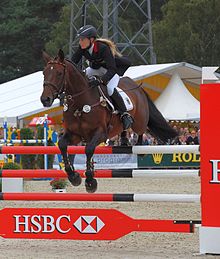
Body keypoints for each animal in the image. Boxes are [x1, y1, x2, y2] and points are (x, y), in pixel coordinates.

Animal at [41, 49, 178, 194]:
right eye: (44, 73)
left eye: (59, 73)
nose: (45, 99)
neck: (80, 104)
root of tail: (137, 87)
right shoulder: (74, 134)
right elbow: (62, 145)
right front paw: (74, 176)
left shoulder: (101, 134)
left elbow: (89, 149)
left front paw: (90, 182)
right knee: (124, 128)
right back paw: (124, 141)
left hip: (139, 122)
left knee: (141, 130)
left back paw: (139, 149)